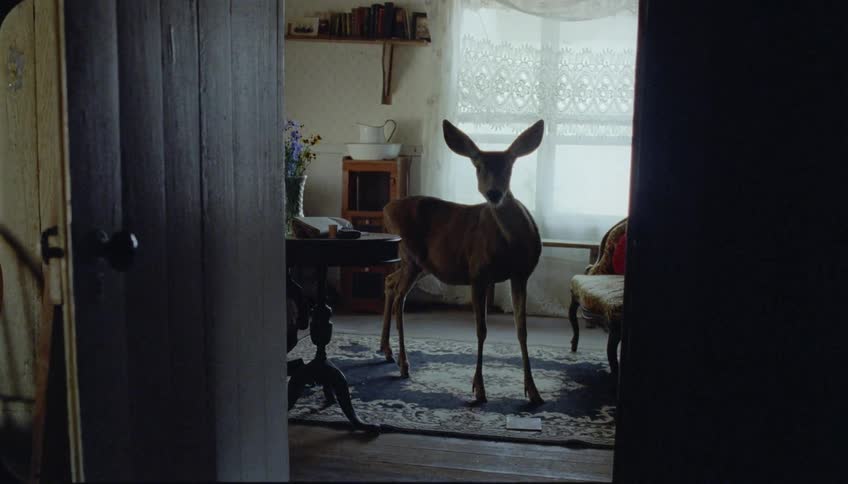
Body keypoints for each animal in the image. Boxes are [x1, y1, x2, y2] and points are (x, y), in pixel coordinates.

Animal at [379, 119, 545, 405]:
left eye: (510, 164)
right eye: (477, 165)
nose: (494, 193)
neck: (512, 246)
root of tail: (386, 209)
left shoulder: (521, 275)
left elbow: (521, 329)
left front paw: (533, 391)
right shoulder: (478, 272)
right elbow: (481, 330)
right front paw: (479, 389)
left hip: (421, 265)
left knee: (390, 282)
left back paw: (385, 350)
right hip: (411, 256)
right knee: (400, 297)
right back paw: (403, 363)